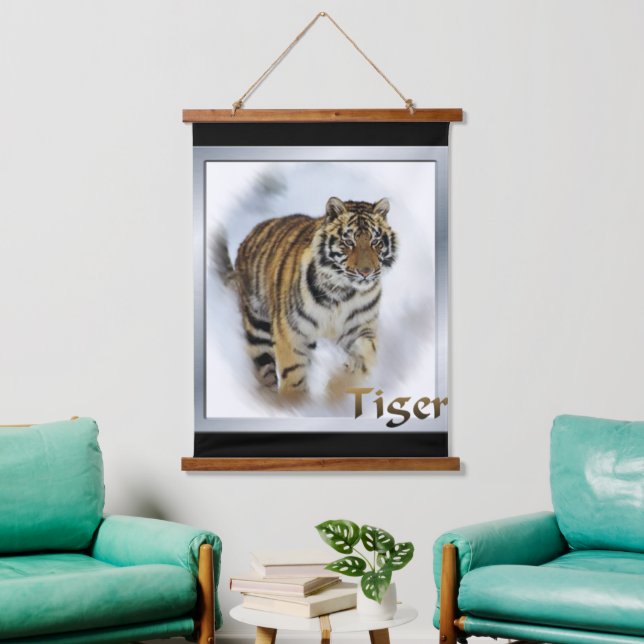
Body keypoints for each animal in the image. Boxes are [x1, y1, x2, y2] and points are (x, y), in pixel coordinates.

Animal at [215, 196, 397, 397]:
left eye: (376, 242)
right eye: (349, 242)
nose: (366, 272)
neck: (342, 293)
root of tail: (249, 237)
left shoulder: (360, 327)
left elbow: (365, 355)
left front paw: (337, 386)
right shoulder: (292, 332)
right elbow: (293, 373)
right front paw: (295, 401)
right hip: (257, 327)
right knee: (264, 371)